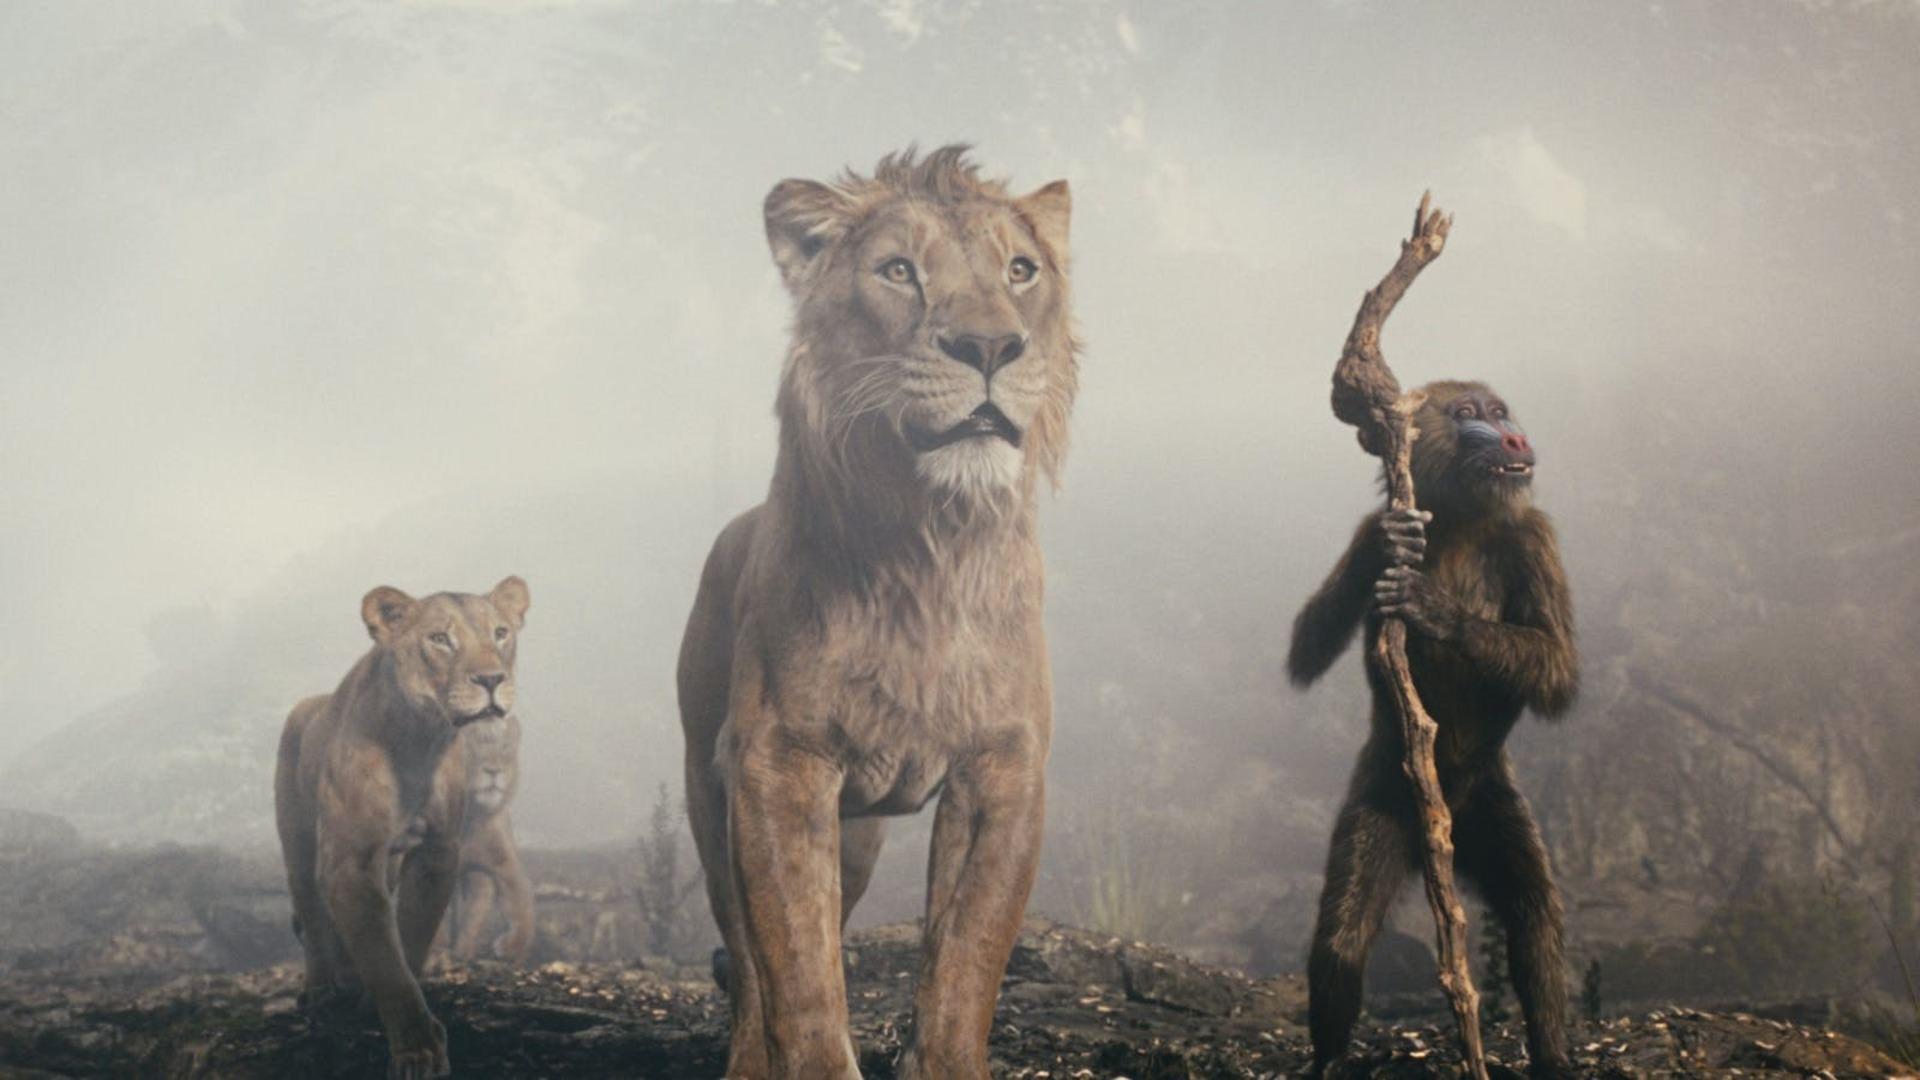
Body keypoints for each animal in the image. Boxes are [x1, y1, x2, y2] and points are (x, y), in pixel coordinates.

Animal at [443, 711, 535, 964]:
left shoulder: (499, 862)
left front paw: (513, 946)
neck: (471, 818)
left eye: (504, 749)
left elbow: (519, 901)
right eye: (471, 748)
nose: (493, 771)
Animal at [677, 145, 1077, 1079]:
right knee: (746, 959)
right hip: (710, 790)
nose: (989, 344)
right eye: (899, 272)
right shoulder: (777, 763)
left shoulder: (1003, 768)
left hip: (856, 834)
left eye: (1021, 270)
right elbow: (798, 972)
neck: (930, 546)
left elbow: (966, 962)